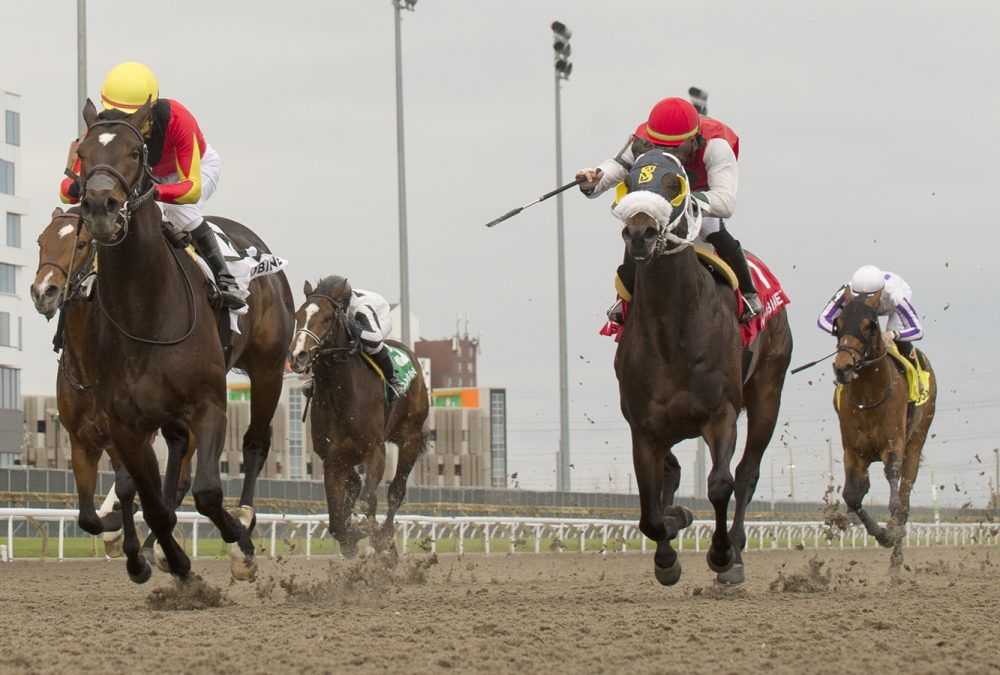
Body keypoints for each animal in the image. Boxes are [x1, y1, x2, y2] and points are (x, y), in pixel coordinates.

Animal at [73, 99, 292, 580]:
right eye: (81, 152)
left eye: (135, 152)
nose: (100, 205)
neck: (145, 310)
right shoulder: (125, 424)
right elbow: (153, 503)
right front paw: (172, 562)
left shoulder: (209, 402)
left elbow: (209, 492)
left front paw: (239, 540)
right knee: (176, 457)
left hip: (269, 368)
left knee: (255, 444)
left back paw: (244, 526)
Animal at [290, 278, 430, 556]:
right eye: (298, 316)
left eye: (327, 318)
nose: (298, 355)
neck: (340, 394)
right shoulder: (332, 459)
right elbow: (336, 520)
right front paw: (350, 539)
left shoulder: (375, 451)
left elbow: (369, 500)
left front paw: (375, 538)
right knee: (356, 485)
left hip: (410, 437)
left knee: (396, 491)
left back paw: (385, 537)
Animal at [612, 152, 792, 588]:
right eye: (630, 181)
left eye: (675, 184)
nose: (640, 233)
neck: (671, 330)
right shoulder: (644, 428)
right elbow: (650, 512)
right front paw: (669, 547)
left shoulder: (720, 413)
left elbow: (719, 484)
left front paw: (722, 555)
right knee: (673, 474)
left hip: (768, 391)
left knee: (746, 473)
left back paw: (736, 554)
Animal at [832, 296, 932, 572]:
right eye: (838, 324)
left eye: (870, 326)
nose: (843, 367)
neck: (868, 396)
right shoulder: (853, 452)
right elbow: (852, 496)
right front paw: (880, 534)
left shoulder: (893, 444)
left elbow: (895, 496)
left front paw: (891, 533)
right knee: (860, 489)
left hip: (917, 441)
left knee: (905, 498)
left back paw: (896, 562)